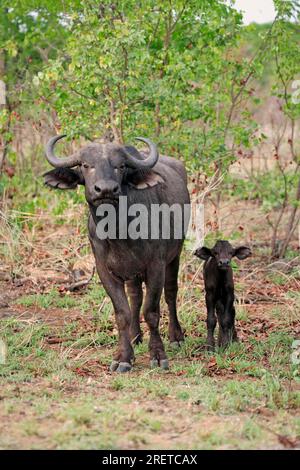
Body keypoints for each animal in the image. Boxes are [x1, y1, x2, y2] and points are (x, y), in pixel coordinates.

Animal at [44, 134, 190, 372]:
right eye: (85, 165)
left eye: (121, 166)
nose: (105, 190)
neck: (119, 230)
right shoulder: (106, 271)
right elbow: (123, 312)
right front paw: (123, 357)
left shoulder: (156, 266)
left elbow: (151, 311)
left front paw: (158, 355)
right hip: (133, 274)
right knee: (135, 297)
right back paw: (134, 336)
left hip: (174, 256)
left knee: (170, 293)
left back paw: (176, 336)